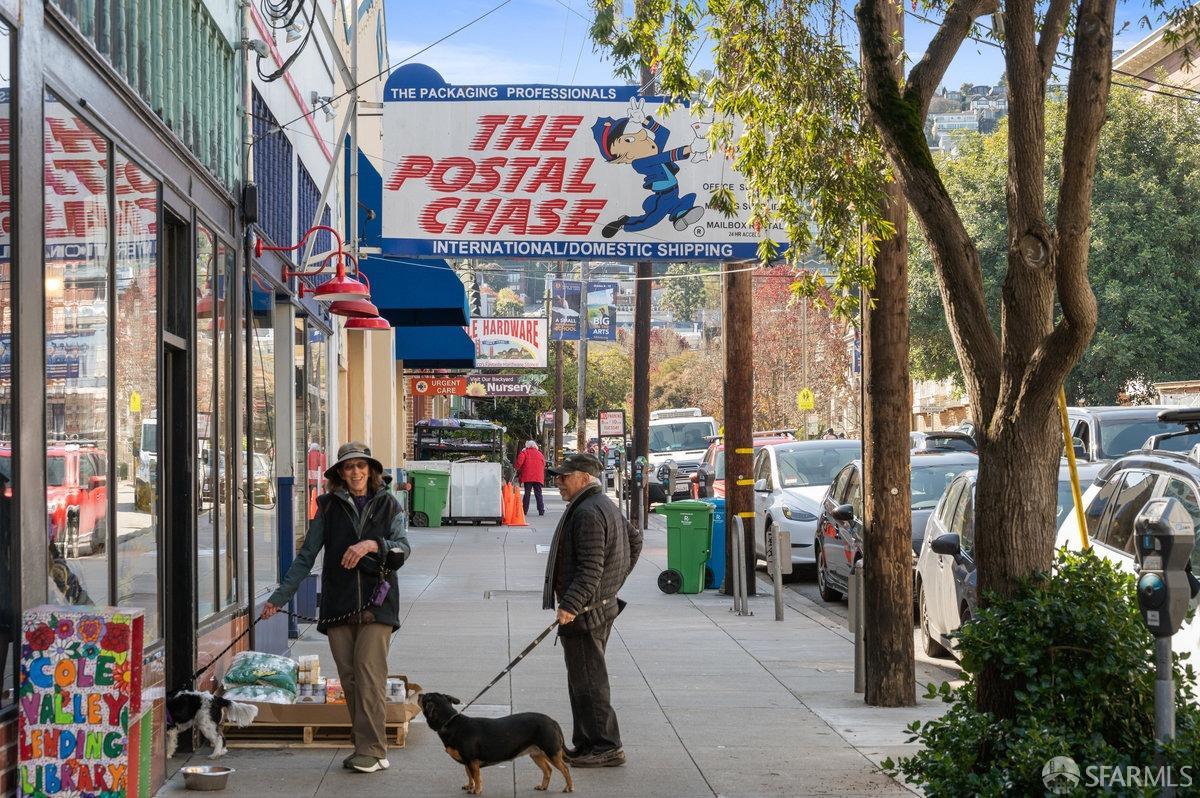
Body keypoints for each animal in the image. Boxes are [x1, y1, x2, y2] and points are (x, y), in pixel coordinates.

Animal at [420, 686, 573, 792]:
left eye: (424, 698)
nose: (420, 693)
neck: (450, 722)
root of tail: (552, 721)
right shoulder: (467, 761)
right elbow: (469, 774)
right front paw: (470, 786)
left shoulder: (471, 760)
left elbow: (476, 776)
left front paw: (476, 790)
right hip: (537, 754)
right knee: (548, 770)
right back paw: (543, 787)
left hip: (551, 752)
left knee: (565, 769)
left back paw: (569, 788)